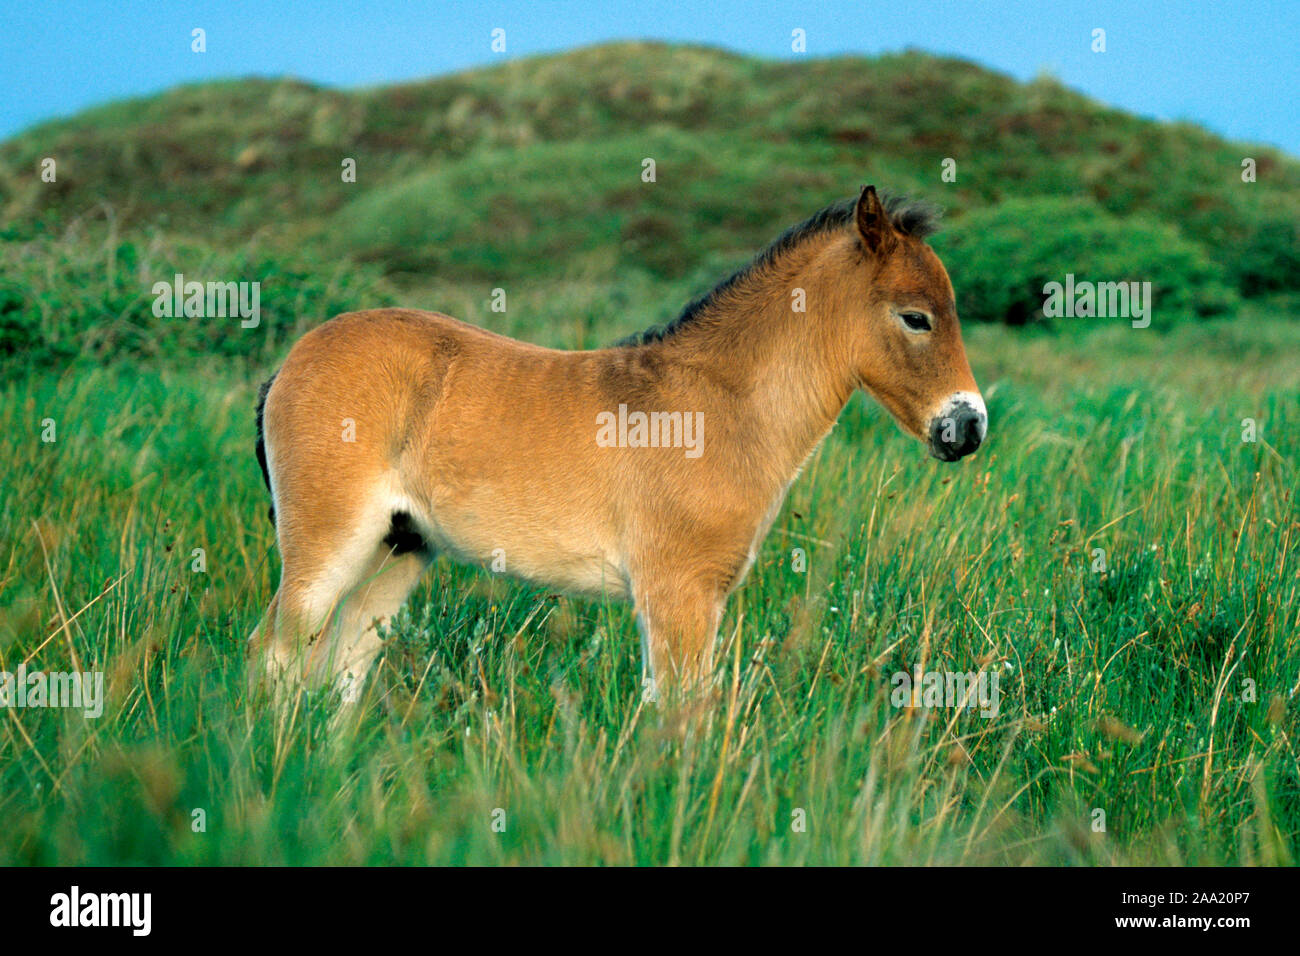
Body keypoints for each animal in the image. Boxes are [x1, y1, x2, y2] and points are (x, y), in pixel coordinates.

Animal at [245, 184, 982, 702]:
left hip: (396, 550)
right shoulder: (677, 590)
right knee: (273, 655)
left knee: (339, 669)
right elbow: (681, 713)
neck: (719, 405)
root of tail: (289, 362)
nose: (968, 427)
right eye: (916, 318)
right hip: (327, 545)